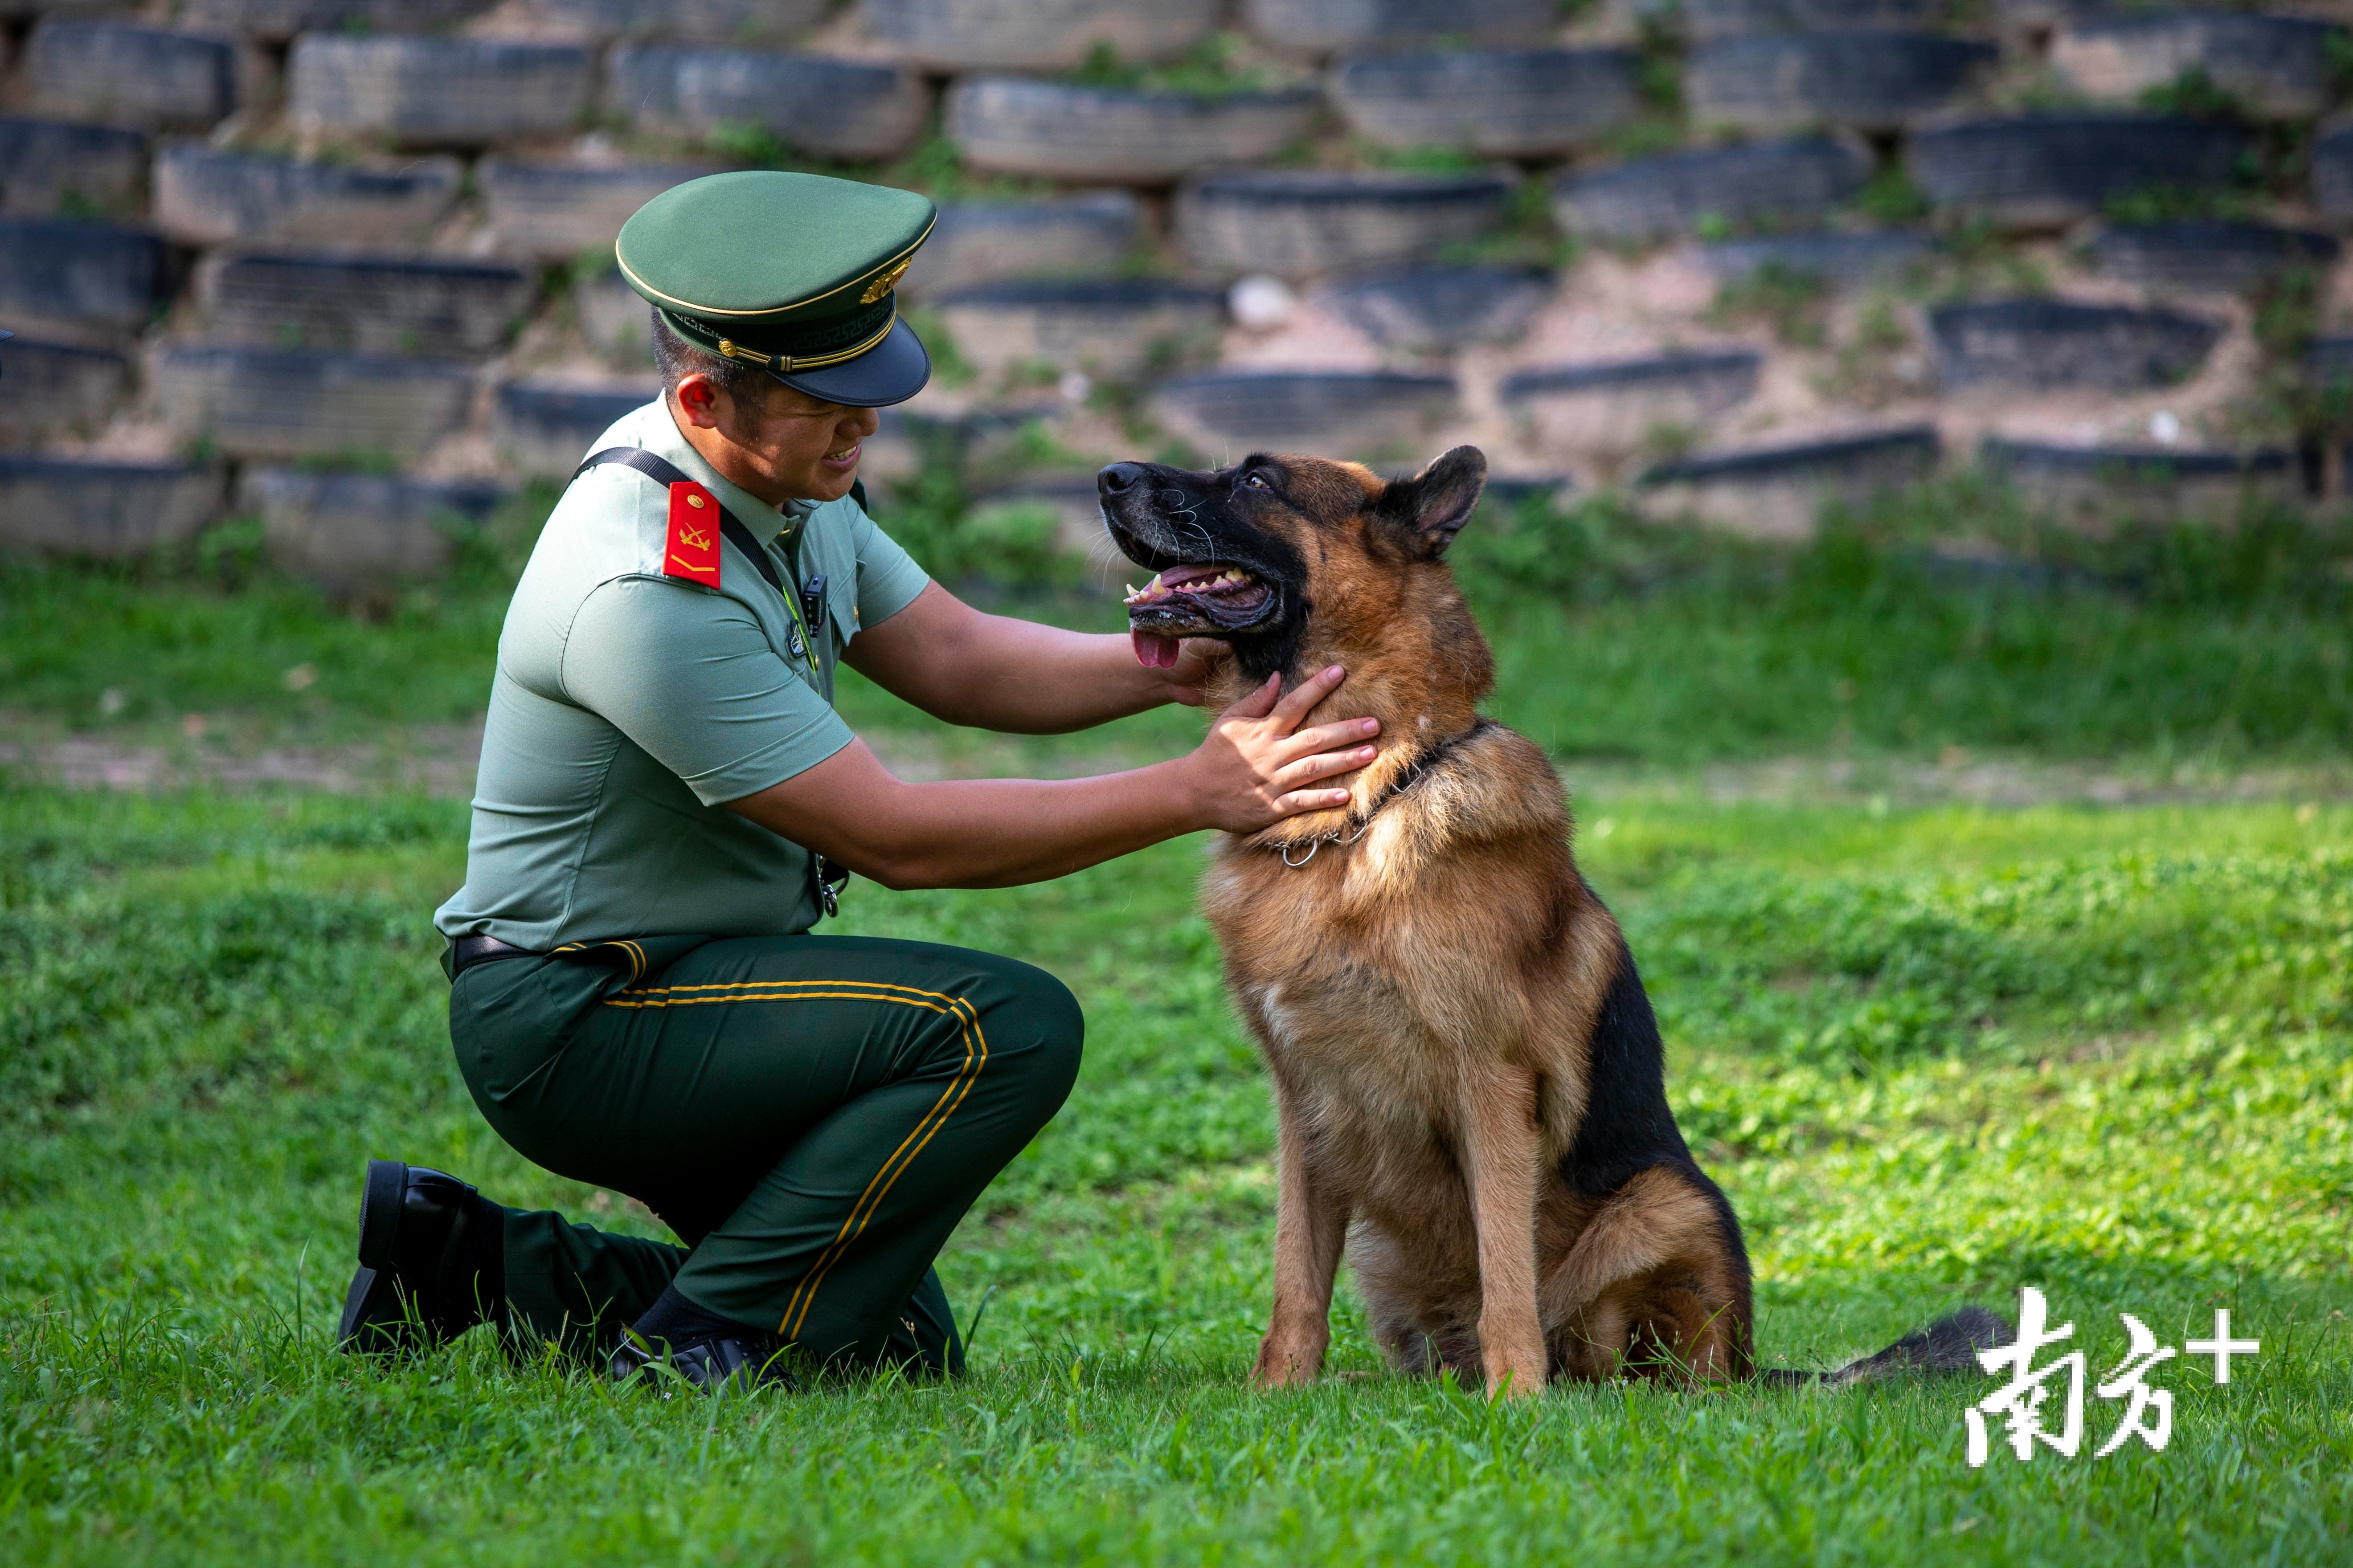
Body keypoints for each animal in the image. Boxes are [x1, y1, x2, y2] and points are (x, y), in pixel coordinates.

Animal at [1101, 446, 2005, 1392]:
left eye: (1255, 482)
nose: (1109, 476)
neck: (1357, 815)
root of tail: (1753, 1370)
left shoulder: (1492, 1086)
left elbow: (1505, 1269)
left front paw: (1515, 1398)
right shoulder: (1305, 1107)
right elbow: (1294, 1284)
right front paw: (1278, 1394)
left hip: (1667, 1205)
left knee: (1633, 1367)